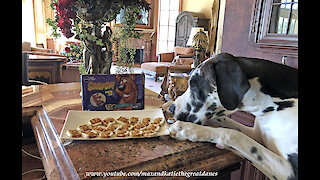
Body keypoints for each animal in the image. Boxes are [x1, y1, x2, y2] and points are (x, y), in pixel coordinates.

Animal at [164, 52, 298, 179]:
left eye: (194, 85)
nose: (172, 108)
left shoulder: (289, 172)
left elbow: (233, 134)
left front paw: (188, 129)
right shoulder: (257, 134)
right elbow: (228, 123)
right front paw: (168, 104)